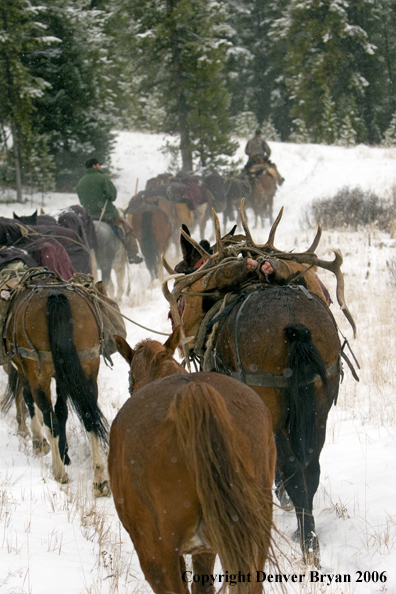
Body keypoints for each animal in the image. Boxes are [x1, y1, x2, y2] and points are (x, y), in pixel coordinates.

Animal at [2, 270, 110, 492]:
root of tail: (55, 295)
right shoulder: (63, 377)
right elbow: (63, 412)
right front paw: (64, 452)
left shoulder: (26, 372)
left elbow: (33, 404)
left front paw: (39, 443)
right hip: (88, 367)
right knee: (89, 415)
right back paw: (99, 476)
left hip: (39, 376)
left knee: (47, 415)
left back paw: (59, 472)